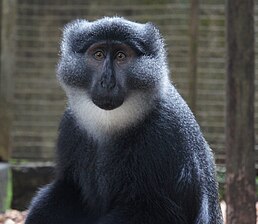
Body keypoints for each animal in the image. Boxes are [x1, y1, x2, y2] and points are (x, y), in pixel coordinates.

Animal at [25, 16, 224, 223]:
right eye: (98, 55)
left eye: (121, 56)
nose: (107, 82)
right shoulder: (70, 125)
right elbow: (69, 188)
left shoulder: (167, 130)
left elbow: (162, 211)